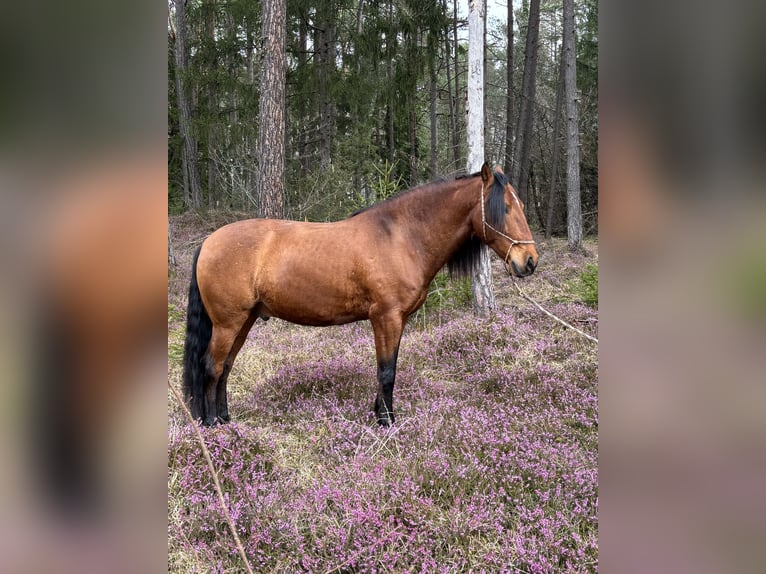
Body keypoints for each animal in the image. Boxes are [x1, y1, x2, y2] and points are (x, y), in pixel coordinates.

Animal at [183, 162, 538, 427]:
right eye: (505, 208)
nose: (530, 260)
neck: (401, 236)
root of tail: (209, 241)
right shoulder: (386, 318)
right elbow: (386, 371)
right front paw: (387, 422)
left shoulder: (395, 321)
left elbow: (388, 367)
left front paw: (380, 414)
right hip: (228, 323)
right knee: (212, 366)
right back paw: (213, 424)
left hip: (244, 321)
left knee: (226, 366)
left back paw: (226, 419)